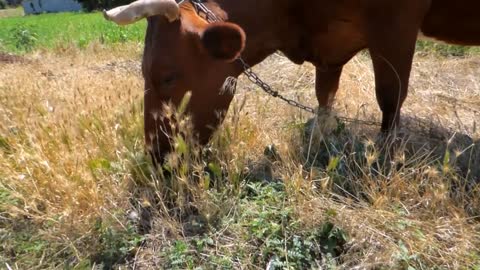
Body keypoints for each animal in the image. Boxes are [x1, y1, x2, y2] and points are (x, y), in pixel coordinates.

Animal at [104, 0, 480, 163]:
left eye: (168, 76)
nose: (156, 155)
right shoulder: (331, 48)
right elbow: (324, 96)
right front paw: (320, 142)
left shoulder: (396, 25)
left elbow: (390, 95)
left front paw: (385, 155)